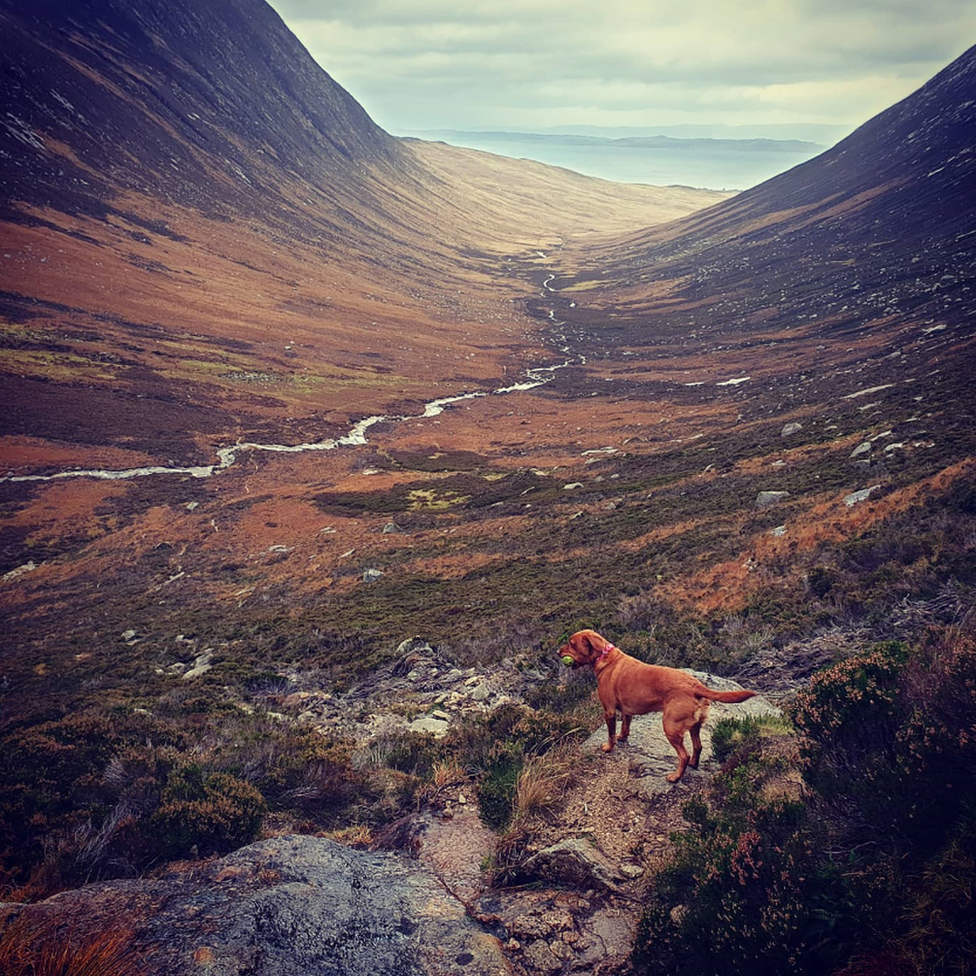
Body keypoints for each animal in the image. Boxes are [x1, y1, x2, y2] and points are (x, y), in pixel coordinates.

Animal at [556, 628, 756, 780]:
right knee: (697, 747)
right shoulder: (627, 711)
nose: (557, 652)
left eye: (571, 643)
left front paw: (608, 747)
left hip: (670, 727)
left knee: (684, 755)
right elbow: (625, 727)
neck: (605, 658)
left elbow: (611, 734)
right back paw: (693, 764)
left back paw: (675, 777)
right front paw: (622, 737)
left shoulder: (609, 711)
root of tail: (695, 684)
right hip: (694, 726)